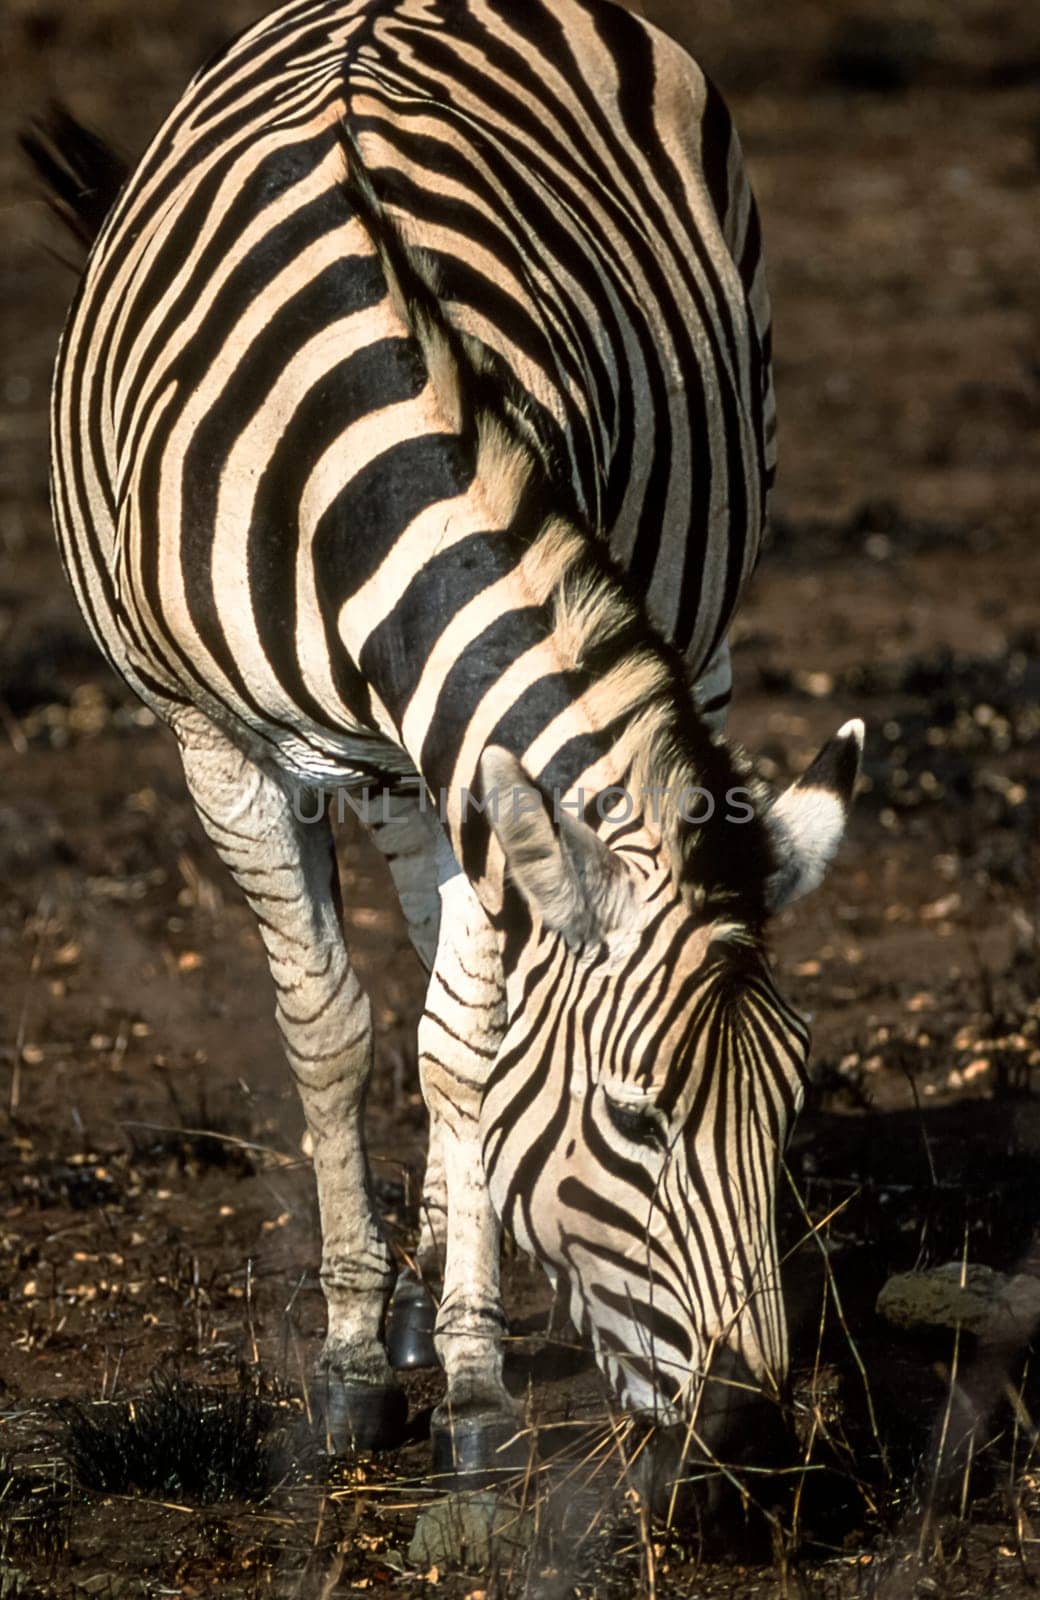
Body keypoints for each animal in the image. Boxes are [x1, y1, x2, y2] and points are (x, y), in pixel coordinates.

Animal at [30, 0, 857, 1491]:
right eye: (635, 1121)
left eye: (795, 1103)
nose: (758, 1434)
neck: (375, 440)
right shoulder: (216, 743)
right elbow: (330, 1031)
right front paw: (358, 1357)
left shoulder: (481, 753)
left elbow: (462, 1052)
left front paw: (470, 1380)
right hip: (386, 760)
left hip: (685, 617)